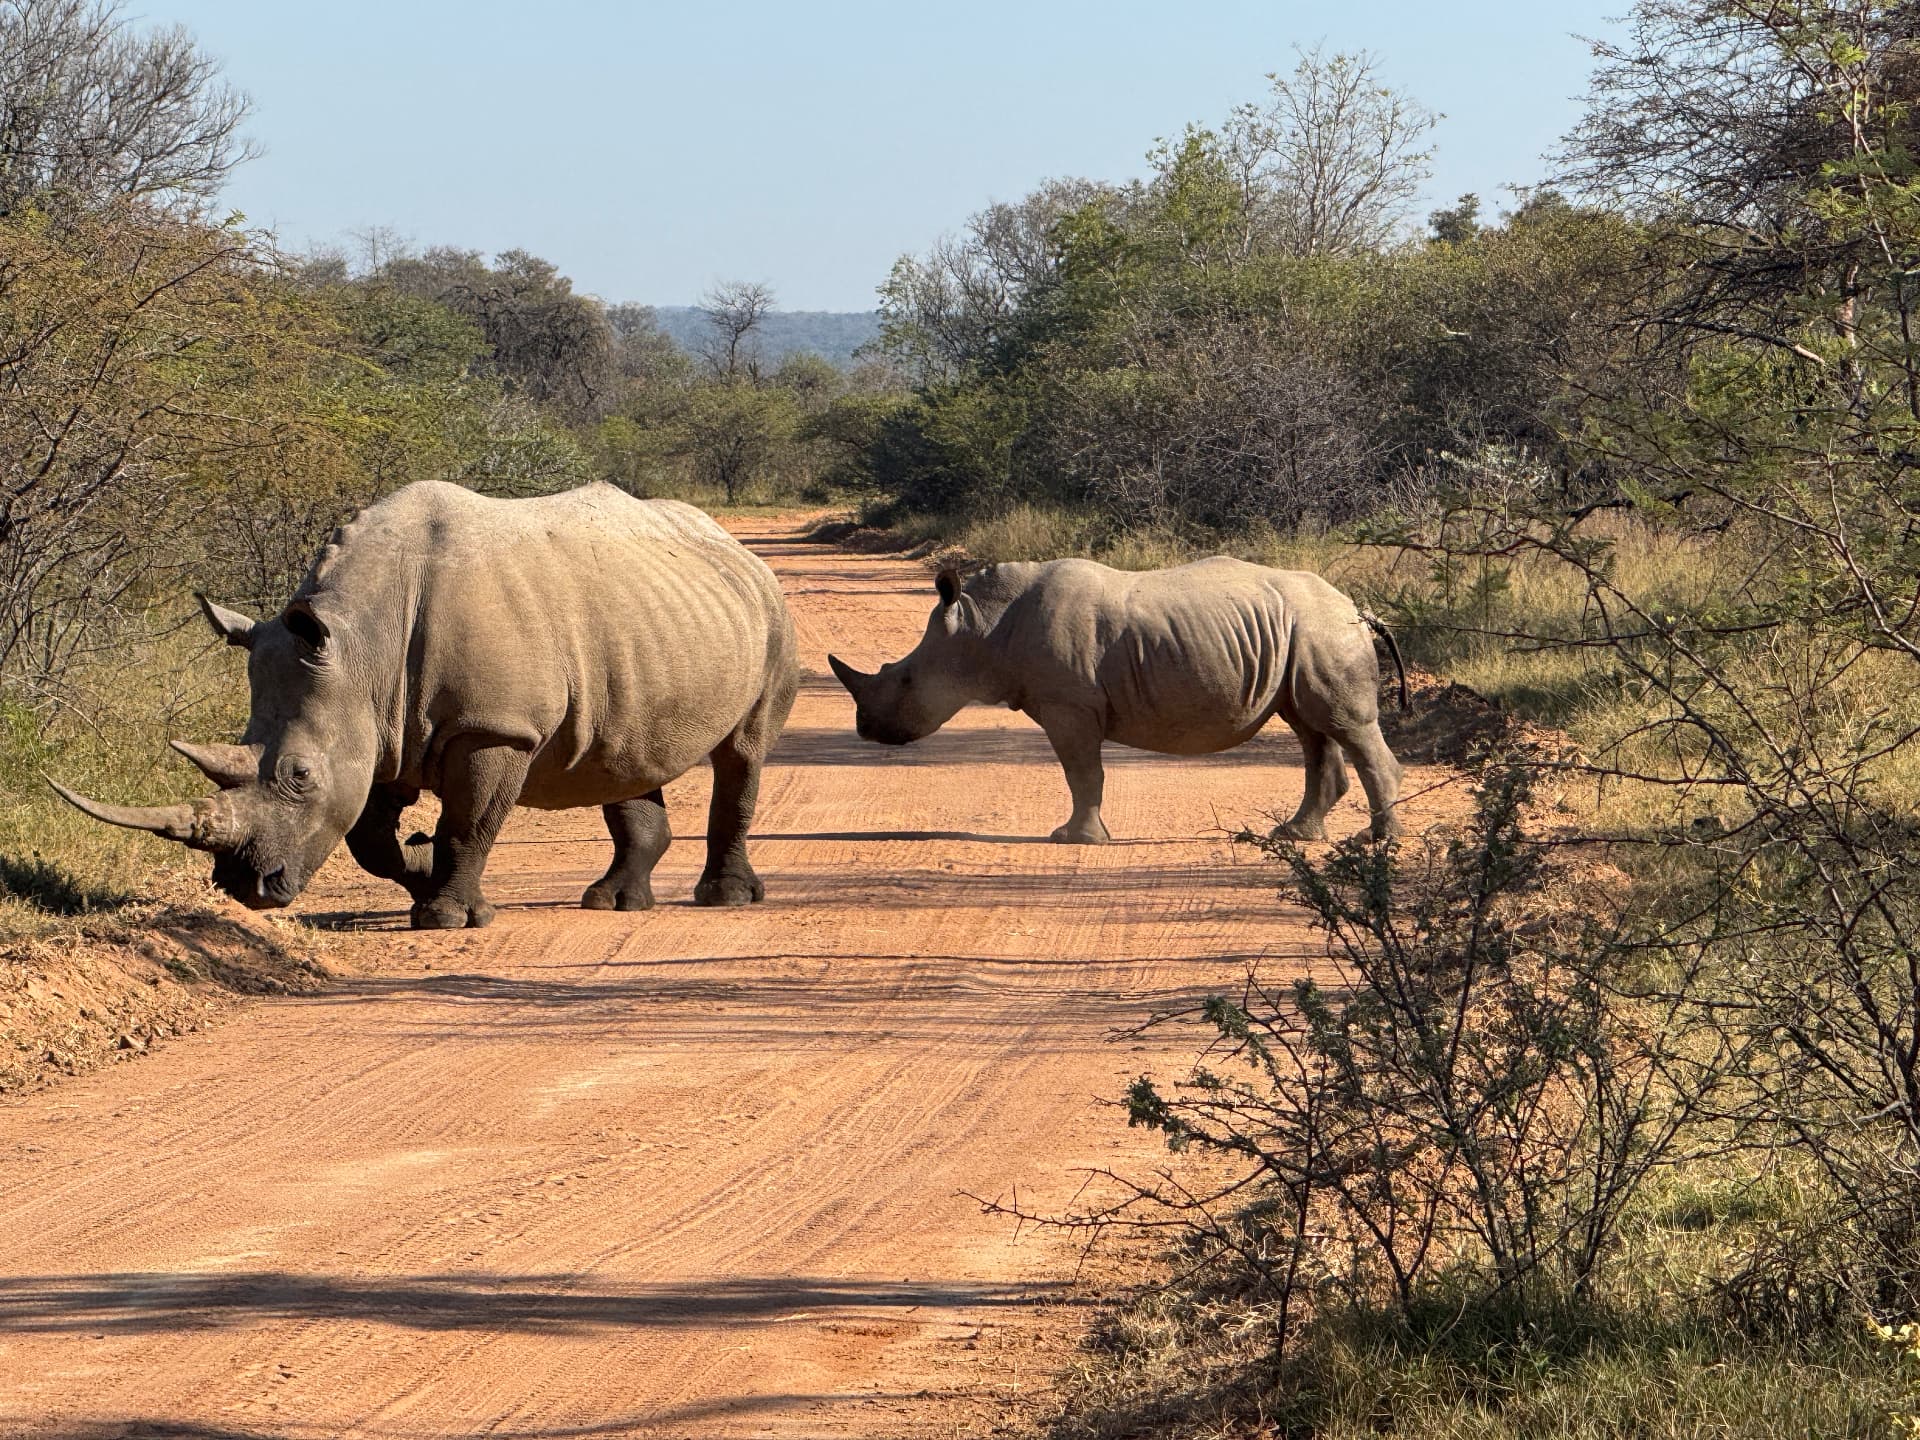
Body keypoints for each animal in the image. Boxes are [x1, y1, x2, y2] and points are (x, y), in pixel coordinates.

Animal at [52, 481, 798, 929]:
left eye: (299, 776)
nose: (244, 887)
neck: (362, 643)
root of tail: (734, 545)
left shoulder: (492, 728)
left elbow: (469, 824)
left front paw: (446, 916)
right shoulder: (379, 727)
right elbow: (369, 841)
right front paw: (419, 867)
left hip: (770, 615)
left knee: (743, 754)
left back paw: (724, 900)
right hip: (650, 622)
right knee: (625, 756)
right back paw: (613, 904)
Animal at [828, 558, 1405, 843]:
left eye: (904, 680)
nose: (864, 729)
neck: (980, 626)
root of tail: (1357, 608)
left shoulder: (1069, 705)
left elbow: (1082, 771)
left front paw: (1074, 839)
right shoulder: (1066, 703)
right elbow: (1083, 772)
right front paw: (1084, 836)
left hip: (1323, 631)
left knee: (1342, 726)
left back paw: (1375, 844)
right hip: (1301, 636)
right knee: (1311, 726)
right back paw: (1294, 836)